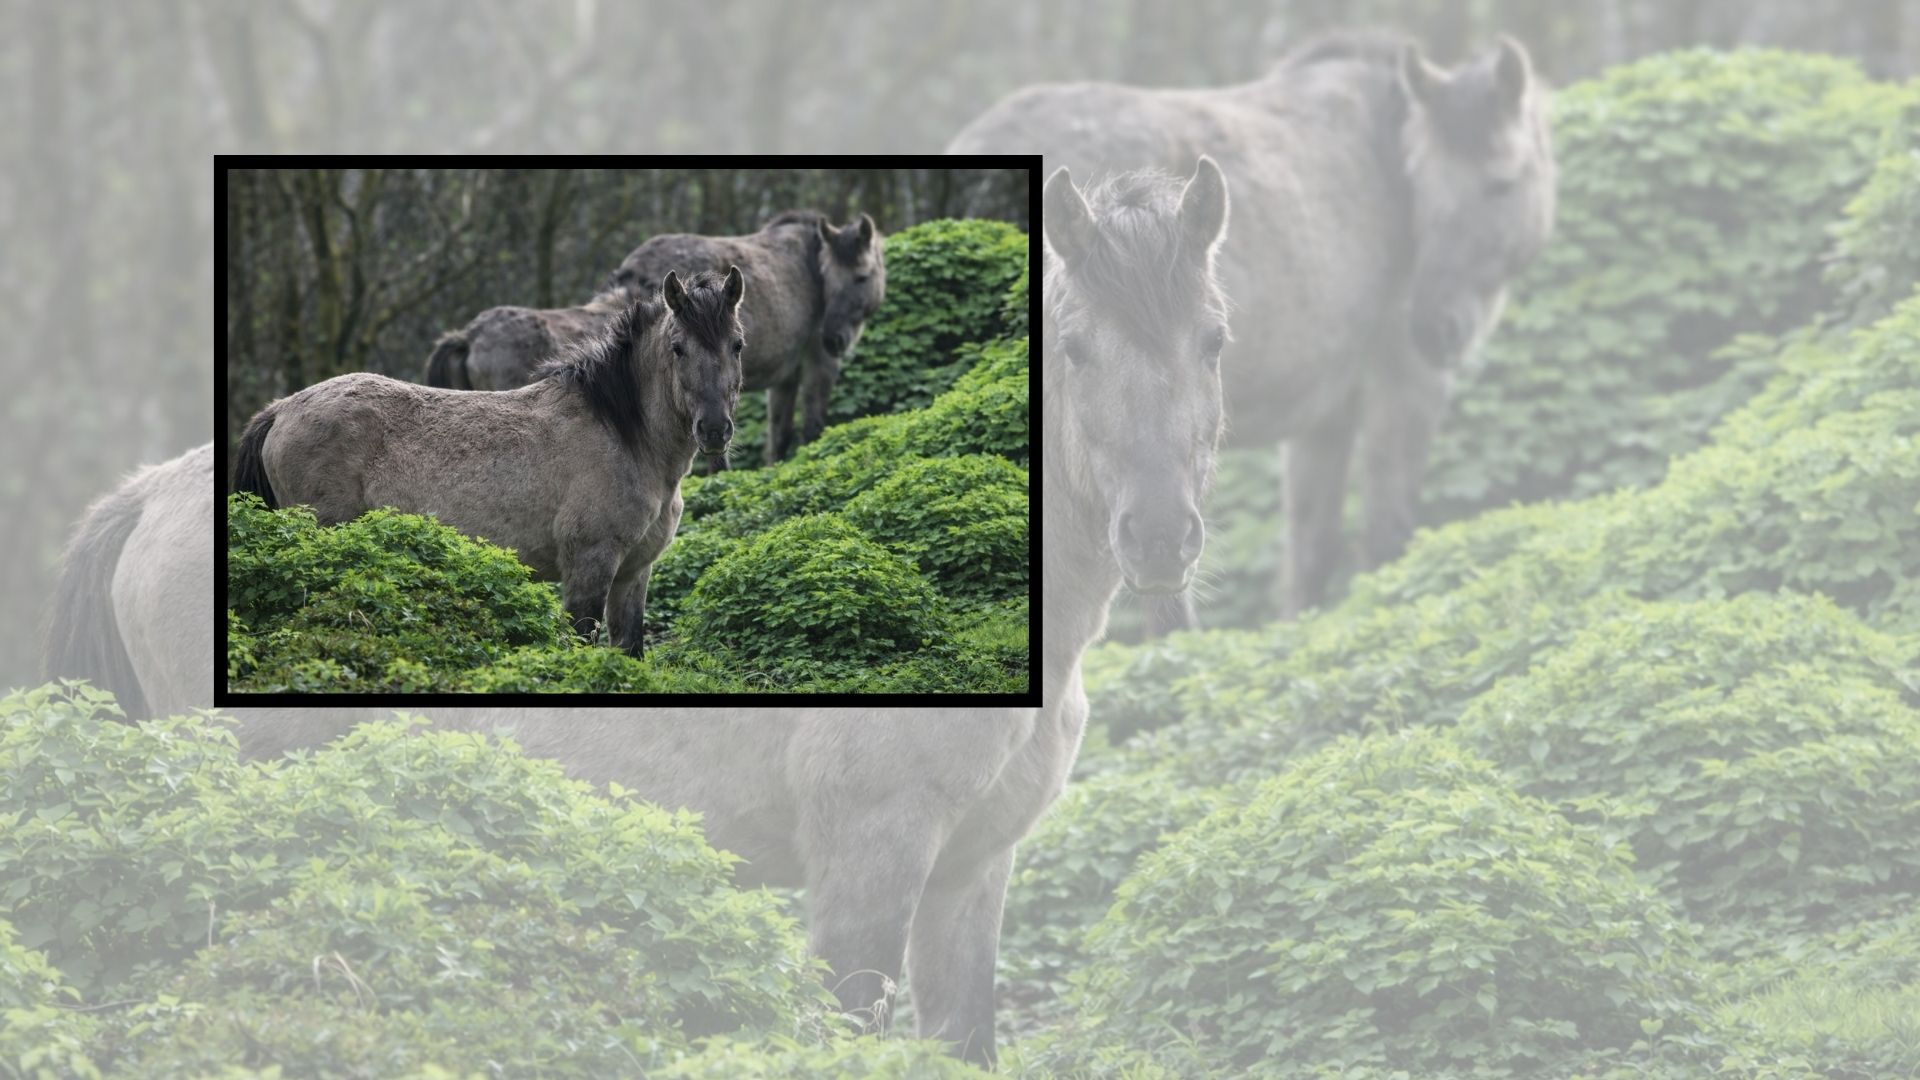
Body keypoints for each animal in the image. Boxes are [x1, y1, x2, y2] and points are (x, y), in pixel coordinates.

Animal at [614, 210, 885, 464]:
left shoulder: (785, 377)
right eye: (828, 277)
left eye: (861, 277)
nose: (832, 339)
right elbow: (812, 429)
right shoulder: (820, 364)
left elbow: (779, 436)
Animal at [950, 28, 1557, 623]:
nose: (1434, 328)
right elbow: (1387, 534)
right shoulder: (1404, 385)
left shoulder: (1325, 416)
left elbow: (1312, 551)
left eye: (1500, 186)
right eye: (1425, 189)